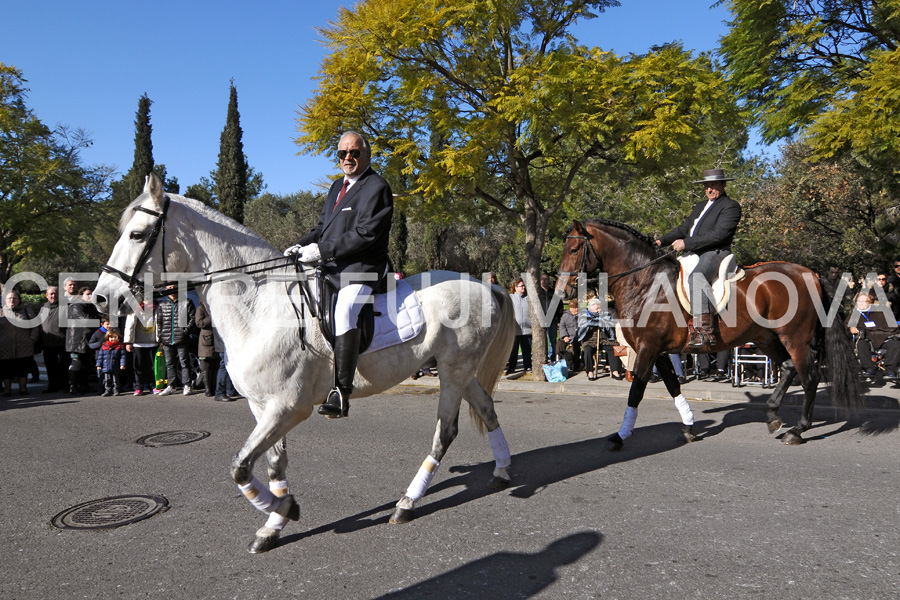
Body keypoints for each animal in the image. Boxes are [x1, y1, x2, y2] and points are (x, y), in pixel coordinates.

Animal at [95, 173, 516, 552]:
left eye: (136, 235)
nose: (101, 298)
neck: (259, 305)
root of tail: (484, 285)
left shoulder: (287, 407)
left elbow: (240, 466)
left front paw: (285, 509)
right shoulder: (262, 406)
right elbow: (272, 465)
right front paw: (274, 523)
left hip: (453, 371)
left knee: (445, 432)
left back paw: (407, 503)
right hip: (460, 370)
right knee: (487, 409)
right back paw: (501, 471)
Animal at [556, 219, 864, 446]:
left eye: (574, 250)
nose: (563, 292)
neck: (645, 282)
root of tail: (810, 273)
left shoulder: (647, 349)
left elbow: (636, 391)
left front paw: (621, 435)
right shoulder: (659, 351)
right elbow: (673, 386)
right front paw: (689, 427)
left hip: (795, 338)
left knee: (809, 378)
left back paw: (797, 431)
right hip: (766, 337)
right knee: (788, 368)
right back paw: (773, 416)